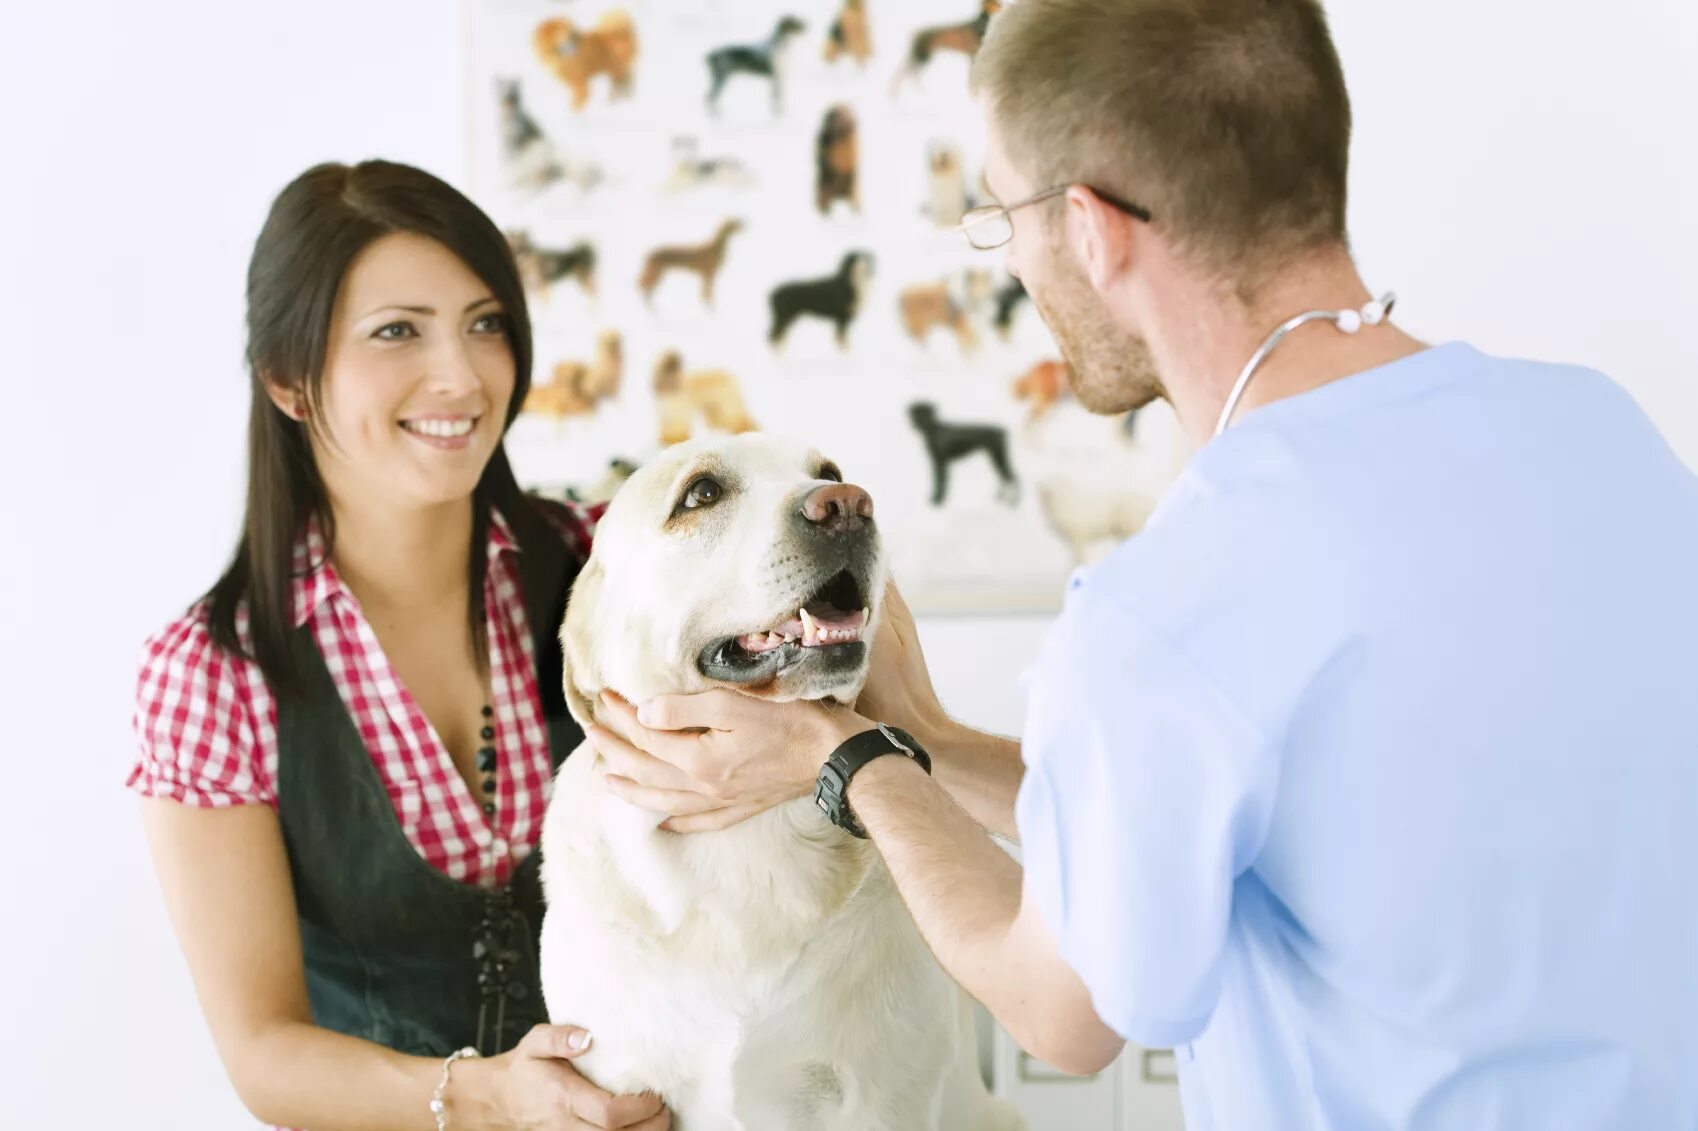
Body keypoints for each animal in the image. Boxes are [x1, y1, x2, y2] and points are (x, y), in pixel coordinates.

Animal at [543, 431, 1018, 1127]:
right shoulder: (617, 1090)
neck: (750, 841)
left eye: (830, 471)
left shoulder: (886, 1097)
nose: (847, 504)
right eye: (701, 493)